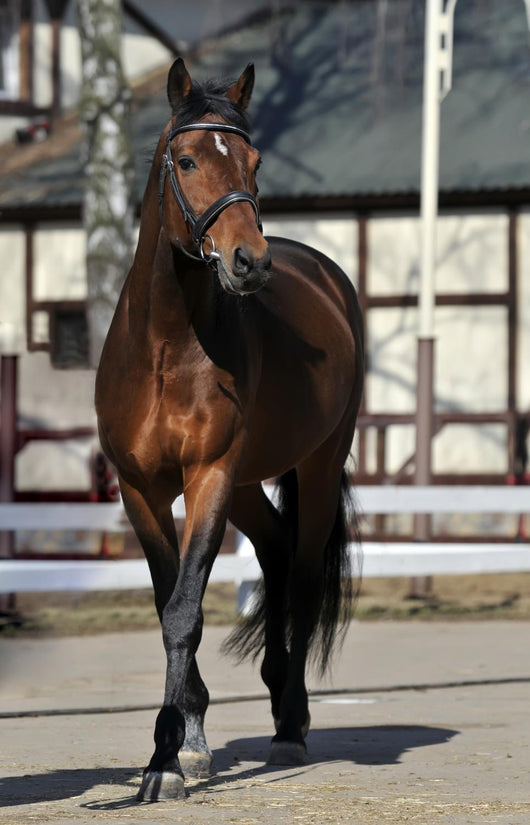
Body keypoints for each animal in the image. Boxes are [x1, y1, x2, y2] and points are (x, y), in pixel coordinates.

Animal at [95, 57, 364, 801]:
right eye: (186, 160)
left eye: (255, 160)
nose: (251, 261)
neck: (165, 345)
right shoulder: (141, 489)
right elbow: (169, 601)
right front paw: (188, 742)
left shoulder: (208, 476)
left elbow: (185, 610)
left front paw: (162, 761)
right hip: (248, 484)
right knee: (272, 551)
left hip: (316, 466)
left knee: (300, 575)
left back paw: (291, 725)